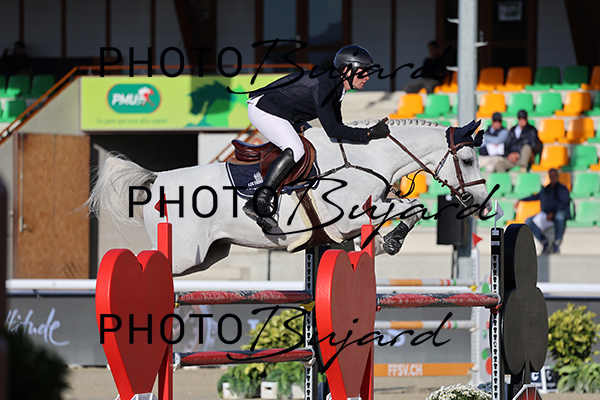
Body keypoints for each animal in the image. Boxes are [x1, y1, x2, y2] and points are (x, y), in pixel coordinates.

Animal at [89, 118, 491, 276]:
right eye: (468, 160)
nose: (485, 204)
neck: (370, 157)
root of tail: (157, 179)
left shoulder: (346, 230)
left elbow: (410, 208)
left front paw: (388, 242)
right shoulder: (349, 217)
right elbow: (412, 206)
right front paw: (391, 241)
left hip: (207, 256)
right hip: (185, 254)